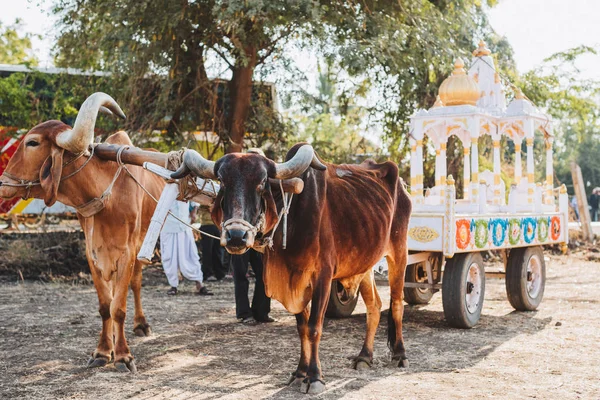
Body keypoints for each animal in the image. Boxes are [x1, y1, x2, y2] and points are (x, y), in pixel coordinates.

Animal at [0, 93, 166, 372]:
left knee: (136, 283)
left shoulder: (127, 252)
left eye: (32, 142)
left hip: (143, 243)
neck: (107, 200)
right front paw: (103, 351)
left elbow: (118, 307)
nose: (2, 184)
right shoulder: (92, 253)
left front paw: (123, 355)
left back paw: (141, 324)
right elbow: (105, 306)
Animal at [171, 142, 410, 392]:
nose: (236, 236)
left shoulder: (323, 277)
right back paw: (364, 356)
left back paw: (399, 354)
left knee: (396, 303)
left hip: (399, 252)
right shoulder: (294, 280)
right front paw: (300, 373)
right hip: (365, 265)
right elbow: (301, 328)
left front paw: (315, 377)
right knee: (375, 306)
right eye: (223, 182)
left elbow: (314, 327)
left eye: (261, 184)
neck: (294, 214)